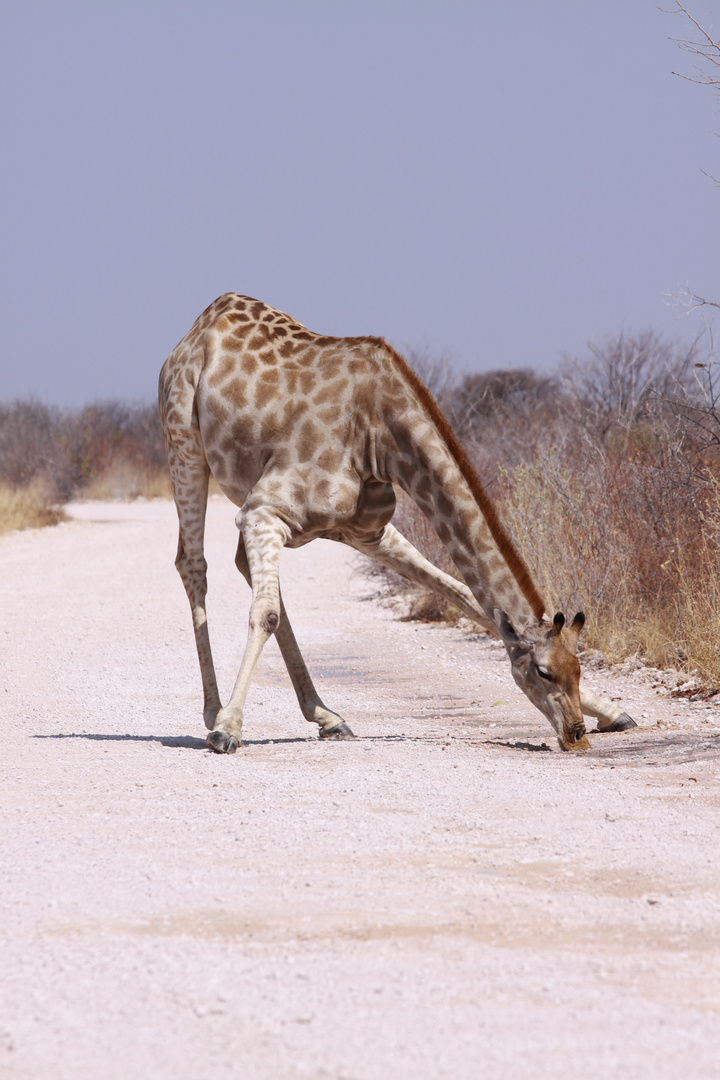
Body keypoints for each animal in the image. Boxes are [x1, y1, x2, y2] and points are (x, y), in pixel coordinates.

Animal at [158, 291, 634, 756]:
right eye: (543, 672)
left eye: (579, 667)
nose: (576, 735)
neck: (380, 436)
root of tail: (196, 329)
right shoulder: (264, 508)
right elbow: (265, 613)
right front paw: (228, 730)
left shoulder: (364, 531)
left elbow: (465, 596)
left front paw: (613, 712)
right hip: (184, 443)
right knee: (193, 564)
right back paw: (215, 712)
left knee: (244, 569)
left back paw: (326, 716)